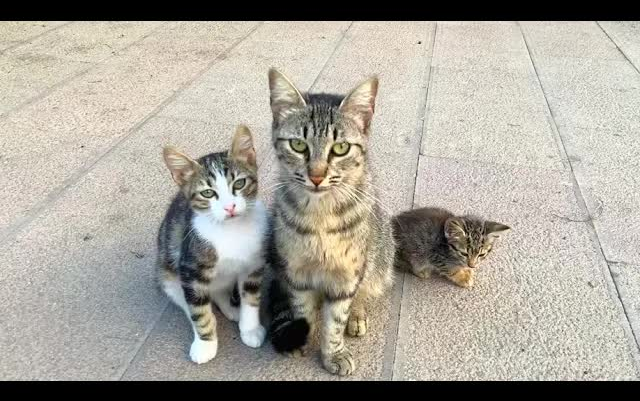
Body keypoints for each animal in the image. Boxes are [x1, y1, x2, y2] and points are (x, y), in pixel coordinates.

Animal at [158, 125, 268, 362]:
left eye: (239, 183)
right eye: (208, 193)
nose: (230, 207)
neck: (231, 231)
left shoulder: (253, 264)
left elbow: (251, 298)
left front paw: (250, 329)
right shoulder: (191, 268)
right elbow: (199, 311)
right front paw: (205, 344)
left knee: (218, 291)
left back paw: (233, 310)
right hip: (167, 272)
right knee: (187, 302)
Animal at [262, 68, 396, 376]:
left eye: (341, 148)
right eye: (298, 145)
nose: (316, 176)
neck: (320, 215)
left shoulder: (347, 276)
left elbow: (335, 320)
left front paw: (333, 352)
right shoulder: (296, 273)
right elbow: (302, 308)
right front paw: (302, 333)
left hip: (380, 258)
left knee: (364, 291)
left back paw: (356, 316)